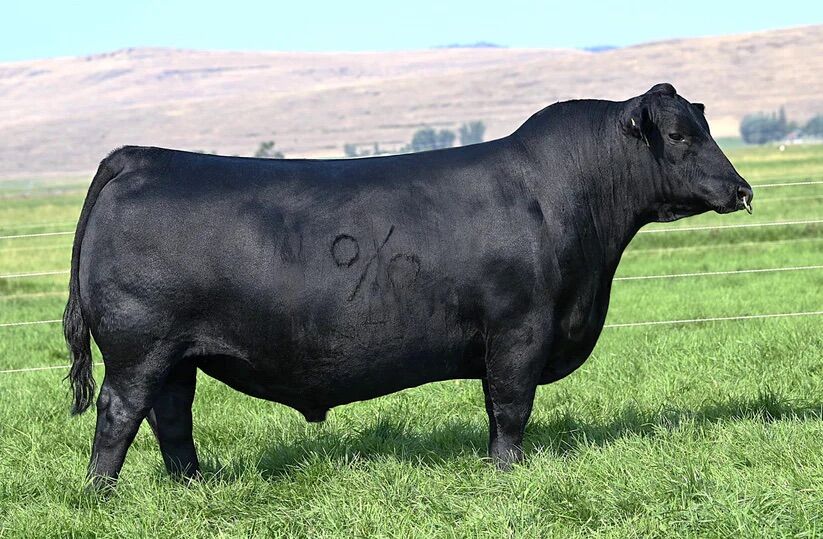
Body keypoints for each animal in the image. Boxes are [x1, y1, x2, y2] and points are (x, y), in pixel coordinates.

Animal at [63, 83, 753, 487]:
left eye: (703, 126)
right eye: (680, 135)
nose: (742, 189)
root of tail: (142, 156)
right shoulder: (519, 331)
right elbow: (511, 408)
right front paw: (505, 476)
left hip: (176, 354)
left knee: (172, 418)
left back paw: (194, 486)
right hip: (138, 349)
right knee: (119, 413)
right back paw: (102, 496)